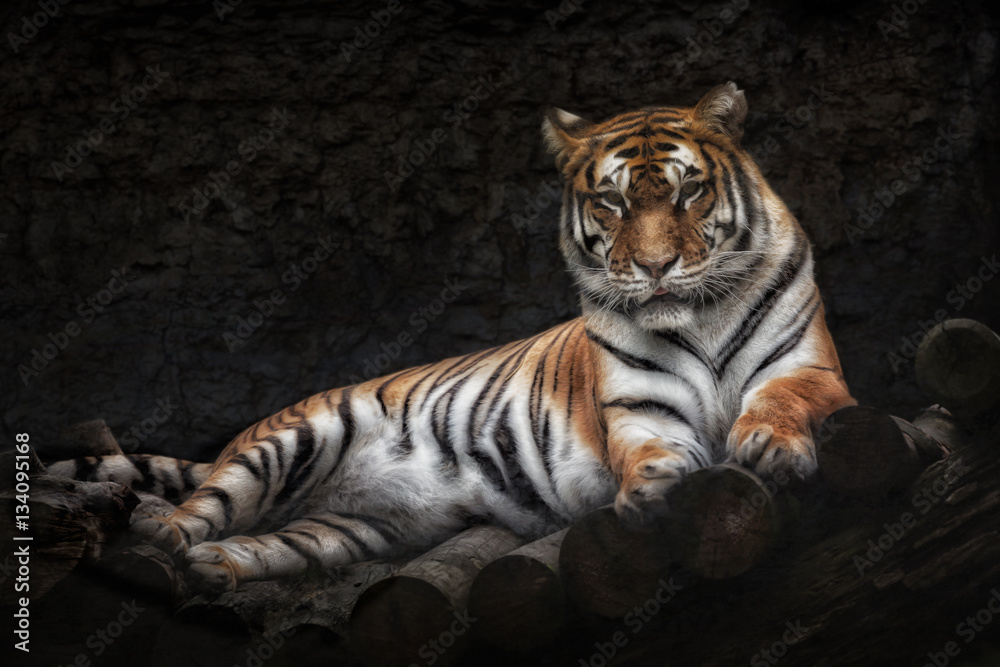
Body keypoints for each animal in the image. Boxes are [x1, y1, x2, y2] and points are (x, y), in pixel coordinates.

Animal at [49, 82, 855, 590]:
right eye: (612, 201)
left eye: (689, 191)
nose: (656, 268)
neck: (701, 315)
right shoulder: (638, 408)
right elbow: (651, 447)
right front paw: (656, 485)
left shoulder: (812, 371)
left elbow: (782, 400)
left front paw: (768, 443)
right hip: (290, 442)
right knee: (196, 512)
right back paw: (159, 551)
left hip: (347, 530)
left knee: (263, 540)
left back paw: (216, 568)